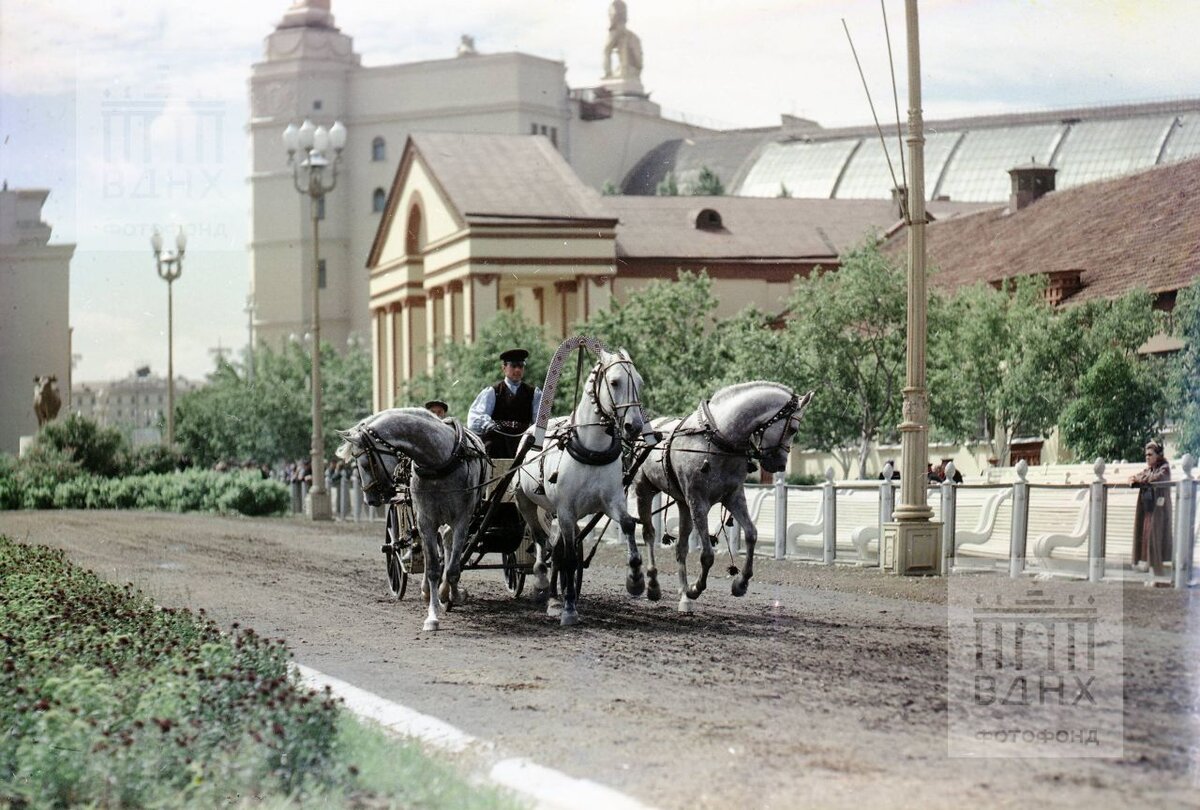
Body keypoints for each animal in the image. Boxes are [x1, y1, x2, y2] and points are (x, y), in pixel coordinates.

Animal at [333, 412, 487, 633]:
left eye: (364, 464)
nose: (370, 500)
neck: (440, 463)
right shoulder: (425, 521)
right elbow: (432, 568)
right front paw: (432, 615)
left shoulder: (462, 521)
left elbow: (452, 568)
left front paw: (454, 594)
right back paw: (428, 590)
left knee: (447, 545)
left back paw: (445, 591)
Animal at [513, 348, 652, 628]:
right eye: (614, 382)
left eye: (640, 382)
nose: (634, 426)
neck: (591, 450)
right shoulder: (566, 509)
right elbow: (568, 558)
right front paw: (569, 609)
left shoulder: (611, 502)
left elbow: (628, 525)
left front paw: (635, 580)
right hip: (527, 503)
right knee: (541, 541)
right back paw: (542, 582)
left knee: (555, 549)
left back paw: (553, 597)